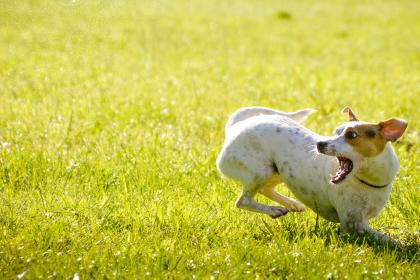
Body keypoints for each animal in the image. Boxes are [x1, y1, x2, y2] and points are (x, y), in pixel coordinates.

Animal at [217, 106, 406, 240]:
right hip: (261, 170)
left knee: (265, 189)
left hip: (278, 171)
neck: (368, 181)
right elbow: (387, 239)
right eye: (335, 132)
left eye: (351, 135)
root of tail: (235, 127)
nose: (320, 144)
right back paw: (274, 210)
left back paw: (292, 204)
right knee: (243, 201)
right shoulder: (353, 224)